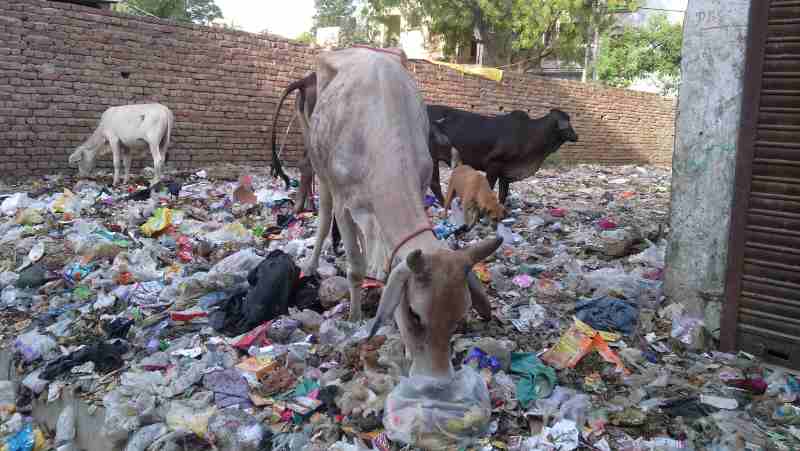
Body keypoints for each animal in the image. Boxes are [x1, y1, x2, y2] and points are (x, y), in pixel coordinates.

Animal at [304, 46, 504, 378]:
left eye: (458, 319)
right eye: (416, 313)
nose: (435, 375)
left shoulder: (419, 187)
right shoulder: (346, 204)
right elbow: (354, 267)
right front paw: (355, 317)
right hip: (321, 172)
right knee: (323, 216)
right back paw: (310, 264)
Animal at [428, 106, 580, 205]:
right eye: (567, 123)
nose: (576, 136)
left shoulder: (506, 172)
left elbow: (503, 194)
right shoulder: (494, 164)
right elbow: (489, 188)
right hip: (432, 158)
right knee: (434, 183)